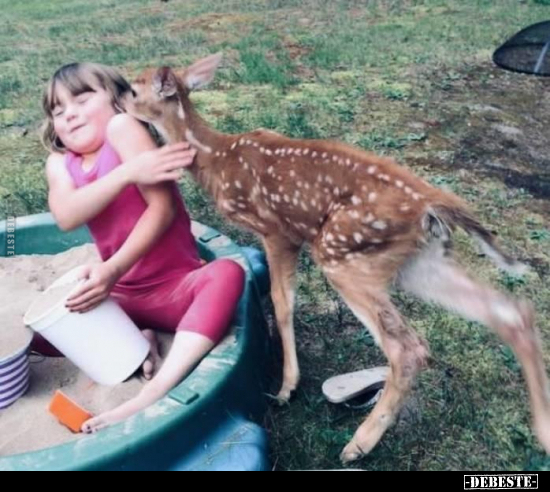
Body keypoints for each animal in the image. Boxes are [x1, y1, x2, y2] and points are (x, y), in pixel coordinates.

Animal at [125, 53, 550, 463]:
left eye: (132, 88)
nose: (118, 97)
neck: (217, 157)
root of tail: (433, 203)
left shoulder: (276, 231)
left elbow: (282, 302)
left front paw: (286, 388)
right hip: (418, 262)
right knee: (510, 311)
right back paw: (543, 431)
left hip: (342, 255)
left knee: (409, 348)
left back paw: (358, 445)